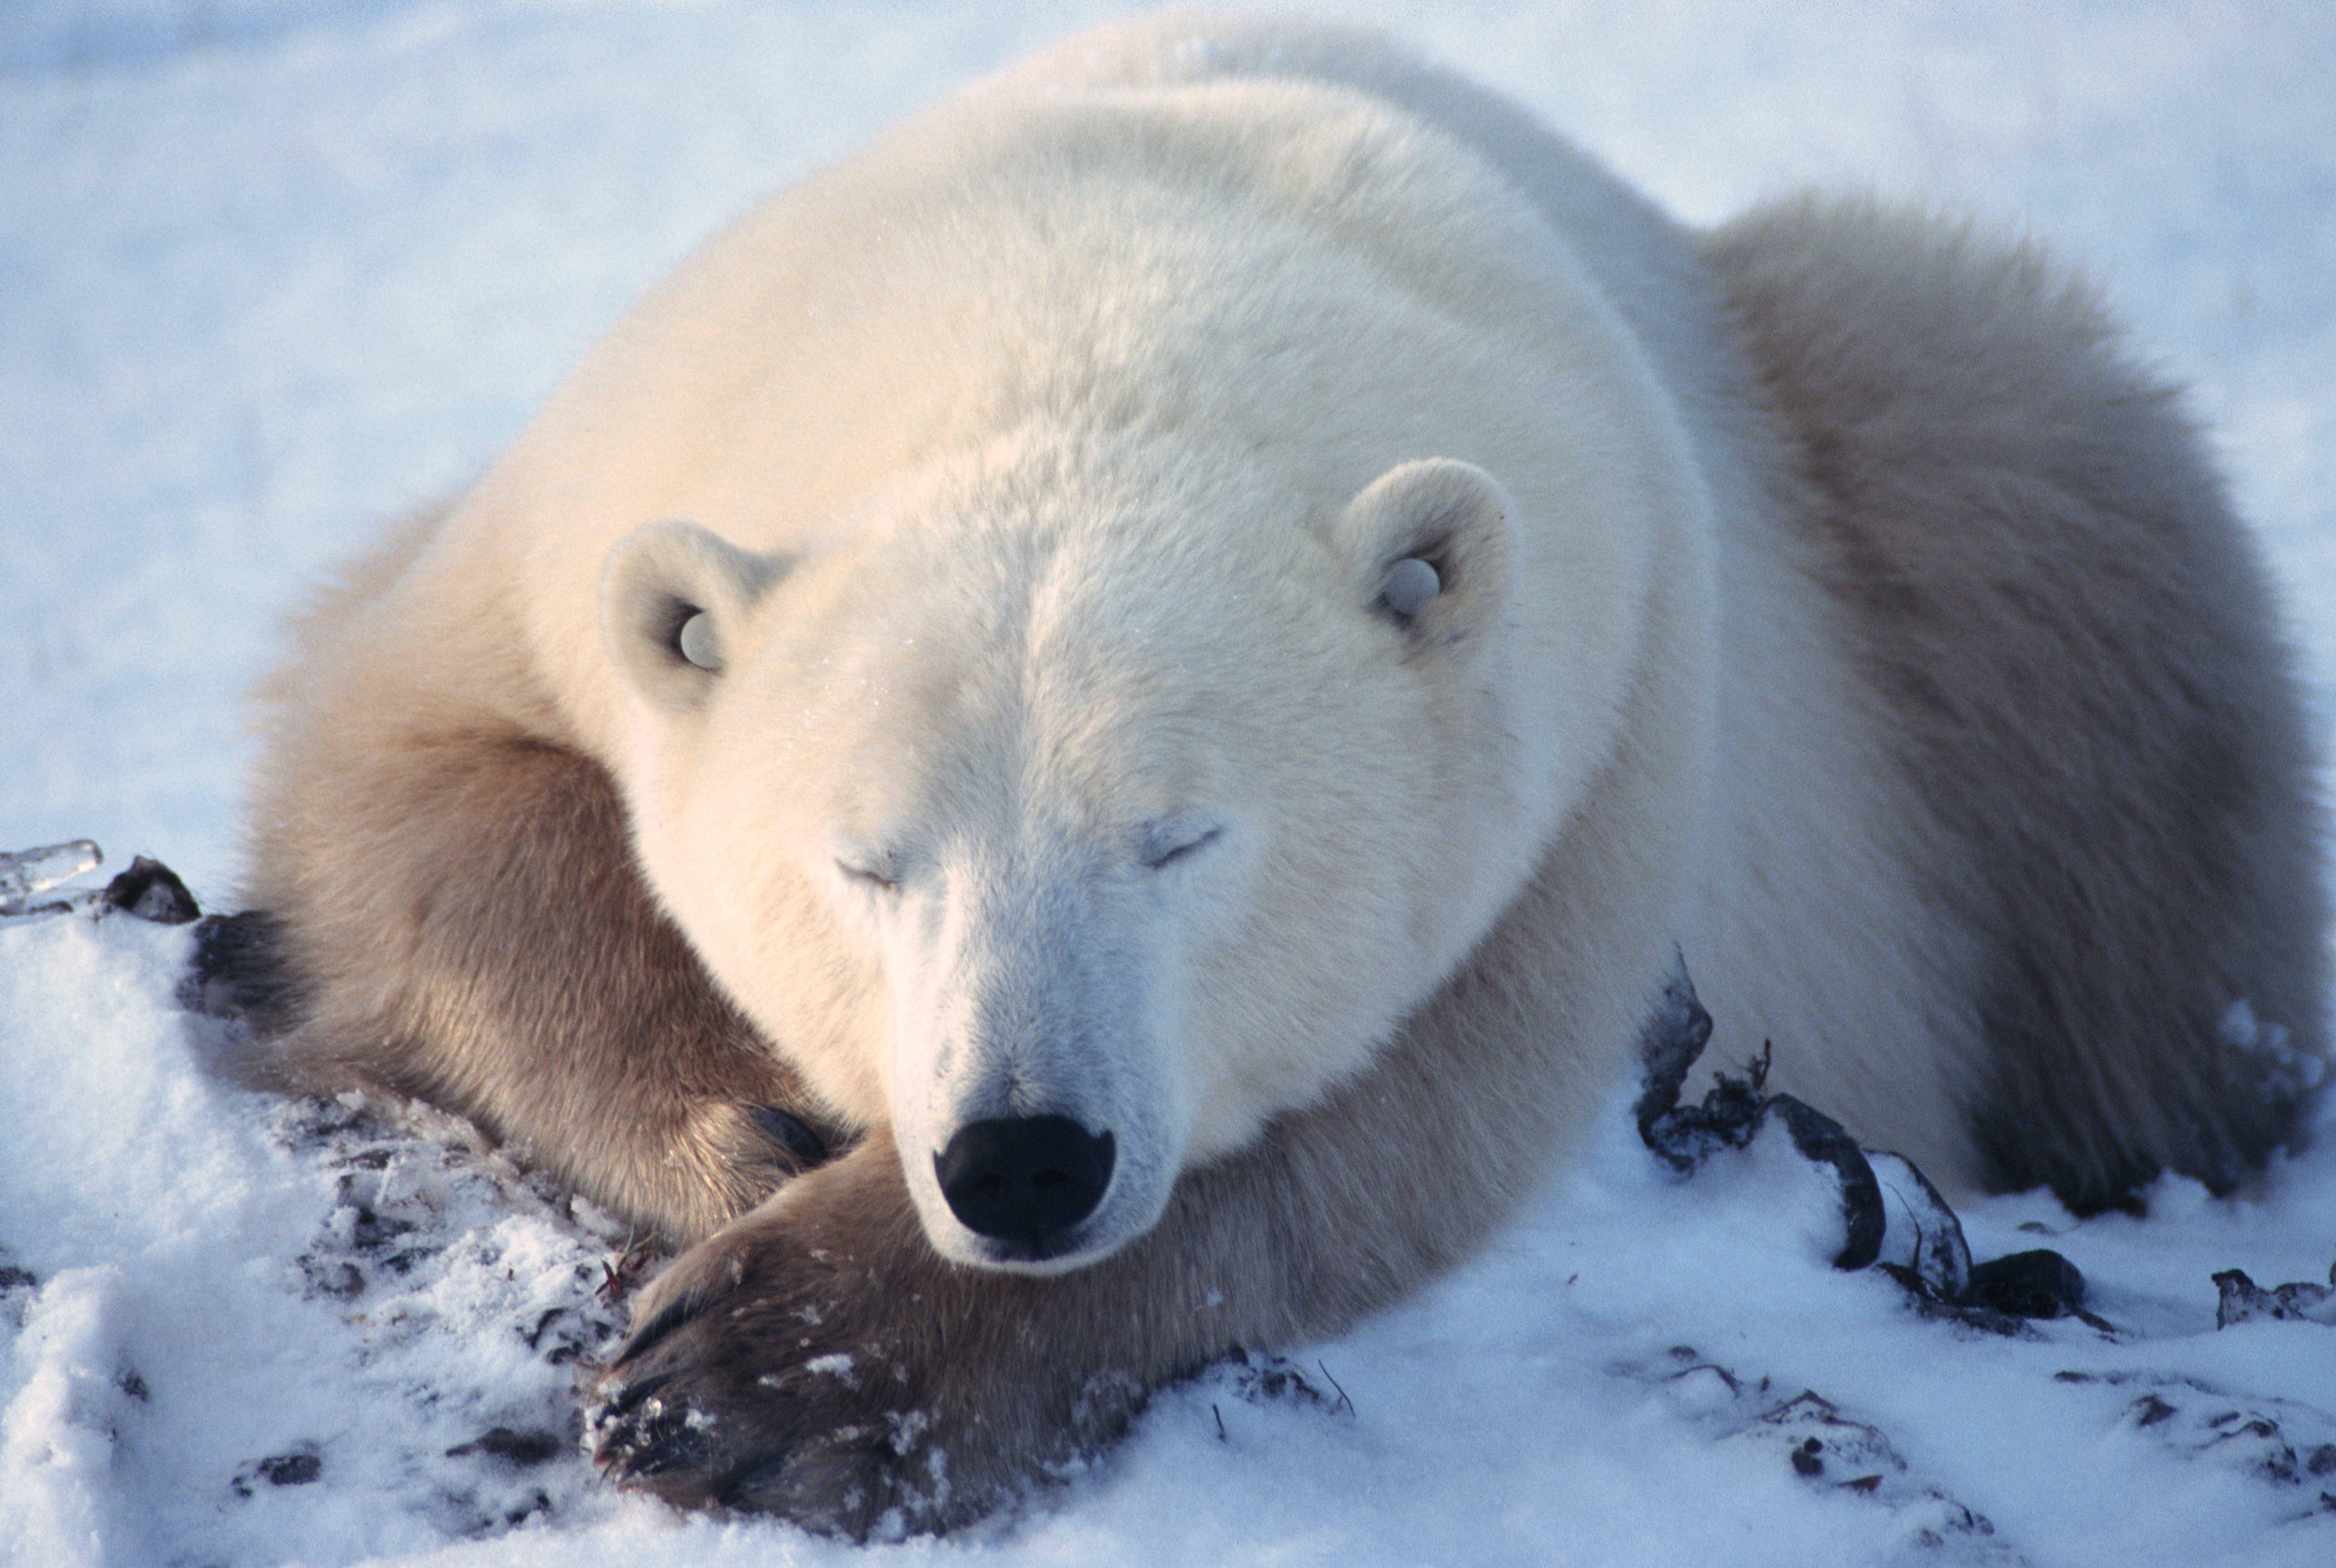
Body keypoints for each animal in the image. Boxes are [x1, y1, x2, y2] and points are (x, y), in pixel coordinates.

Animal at [216, 9, 2327, 1537]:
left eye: (1183, 840)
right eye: (867, 862)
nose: (1021, 1158)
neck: (1087, 297)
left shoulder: (1617, 701)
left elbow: (1396, 1115)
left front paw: (774, 1368)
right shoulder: (575, 506)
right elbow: (388, 772)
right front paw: (740, 1134)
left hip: (1907, 522)